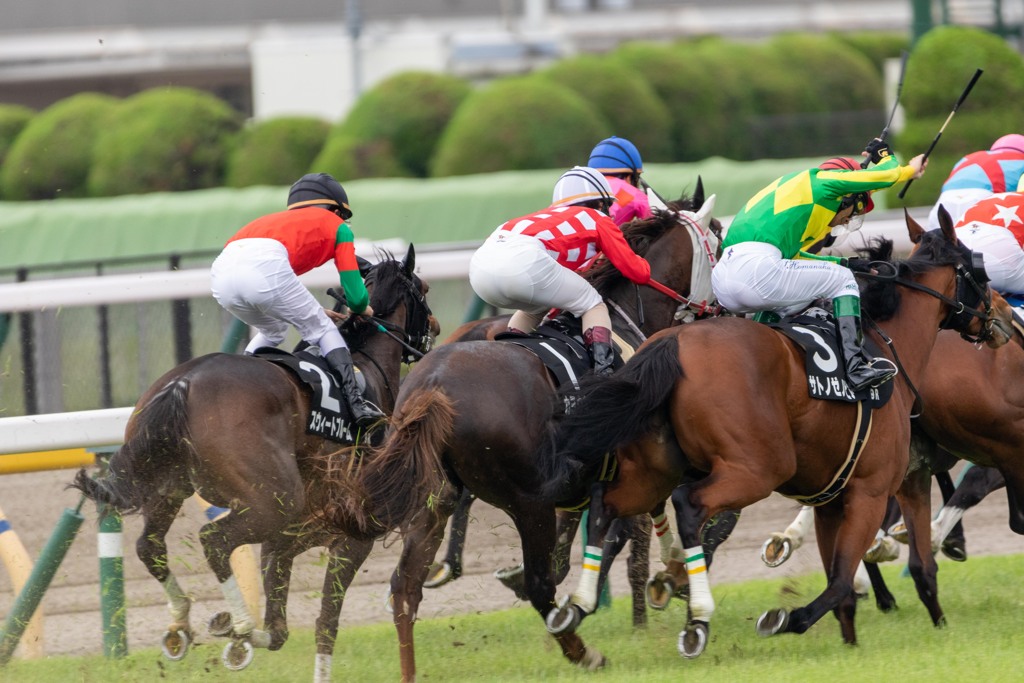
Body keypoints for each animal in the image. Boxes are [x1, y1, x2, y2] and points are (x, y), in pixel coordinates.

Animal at [540, 210, 1011, 659]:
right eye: (980, 269)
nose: (1005, 317)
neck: (886, 344)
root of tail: (671, 342)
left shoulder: (831, 500)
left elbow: (845, 581)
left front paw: (853, 641)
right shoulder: (871, 490)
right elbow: (841, 580)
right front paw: (787, 618)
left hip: (654, 470)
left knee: (605, 504)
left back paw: (575, 607)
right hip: (757, 468)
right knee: (689, 506)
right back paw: (697, 619)